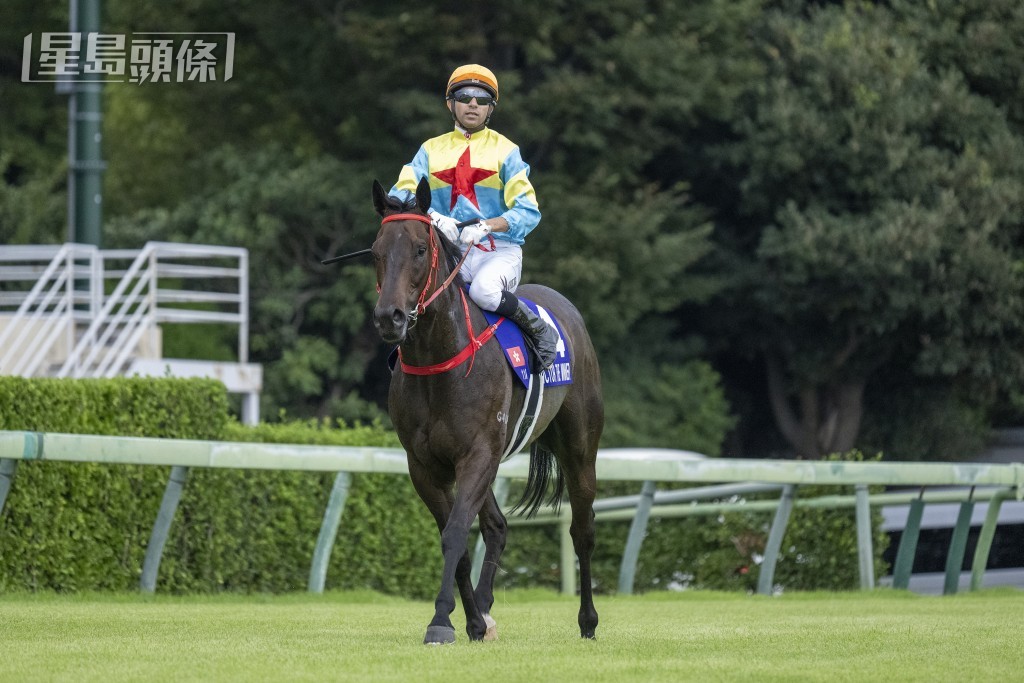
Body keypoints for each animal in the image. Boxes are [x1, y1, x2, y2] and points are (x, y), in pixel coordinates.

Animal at [369, 177, 604, 645]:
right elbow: (456, 538)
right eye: (376, 251)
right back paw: (484, 610)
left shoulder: (476, 453)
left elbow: (457, 534)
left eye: (419, 249)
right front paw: (470, 620)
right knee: (497, 527)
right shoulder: (426, 465)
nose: (390, 317)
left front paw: (441, 621)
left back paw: (587, 621)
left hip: (579, 447)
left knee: (582, 530)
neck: (439, 363)